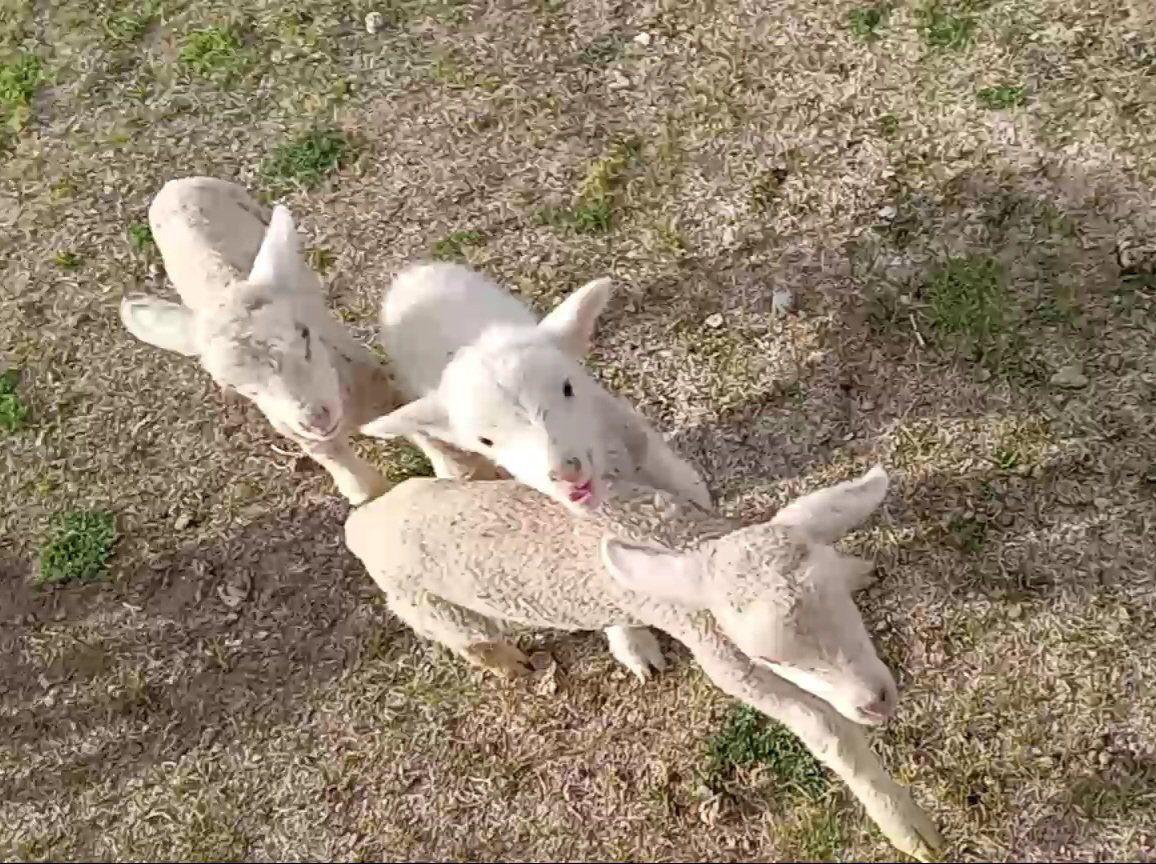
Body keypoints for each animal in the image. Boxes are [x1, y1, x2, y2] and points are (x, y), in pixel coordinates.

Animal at [118, 177, 497, 505]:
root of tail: (171, 186)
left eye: (303, 334)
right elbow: (365, 490)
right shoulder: (305, 438)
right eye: (236, 387)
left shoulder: (381, 389)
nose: (316, 418)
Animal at [344, 463, 943, 861]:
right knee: (464, 636)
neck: (681, 538)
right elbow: (825, 730)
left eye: (838, 601)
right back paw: (510, 662)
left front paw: (857, 568)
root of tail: (363, 521)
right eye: (767, 655)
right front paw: (910, 828)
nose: (876, 701)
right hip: (426, 604)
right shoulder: (724, 656)